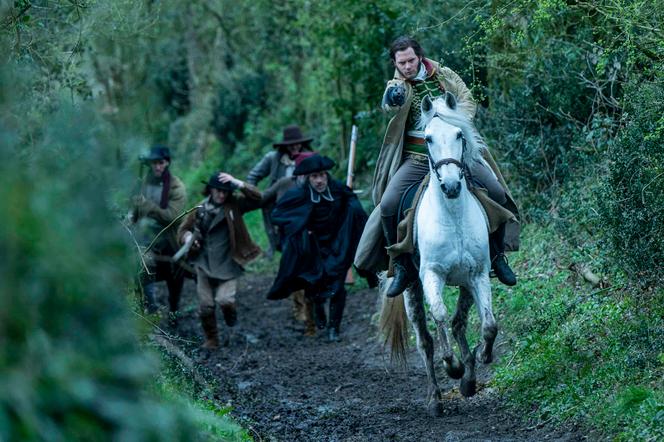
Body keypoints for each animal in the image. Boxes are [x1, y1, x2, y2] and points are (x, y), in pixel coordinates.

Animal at [382, 92, 496, 414]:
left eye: (459, 134)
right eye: (428, 138)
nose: (452, 186)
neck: (453, 216)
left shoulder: (478, 274)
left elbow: (489, 325)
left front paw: (481, 358)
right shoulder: (432, 275)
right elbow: (440, 316)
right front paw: (453, 366)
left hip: (466, 284)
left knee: (459, 324)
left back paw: (469, 379)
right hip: (410, 288)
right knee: (425, 341)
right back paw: (435, 397)